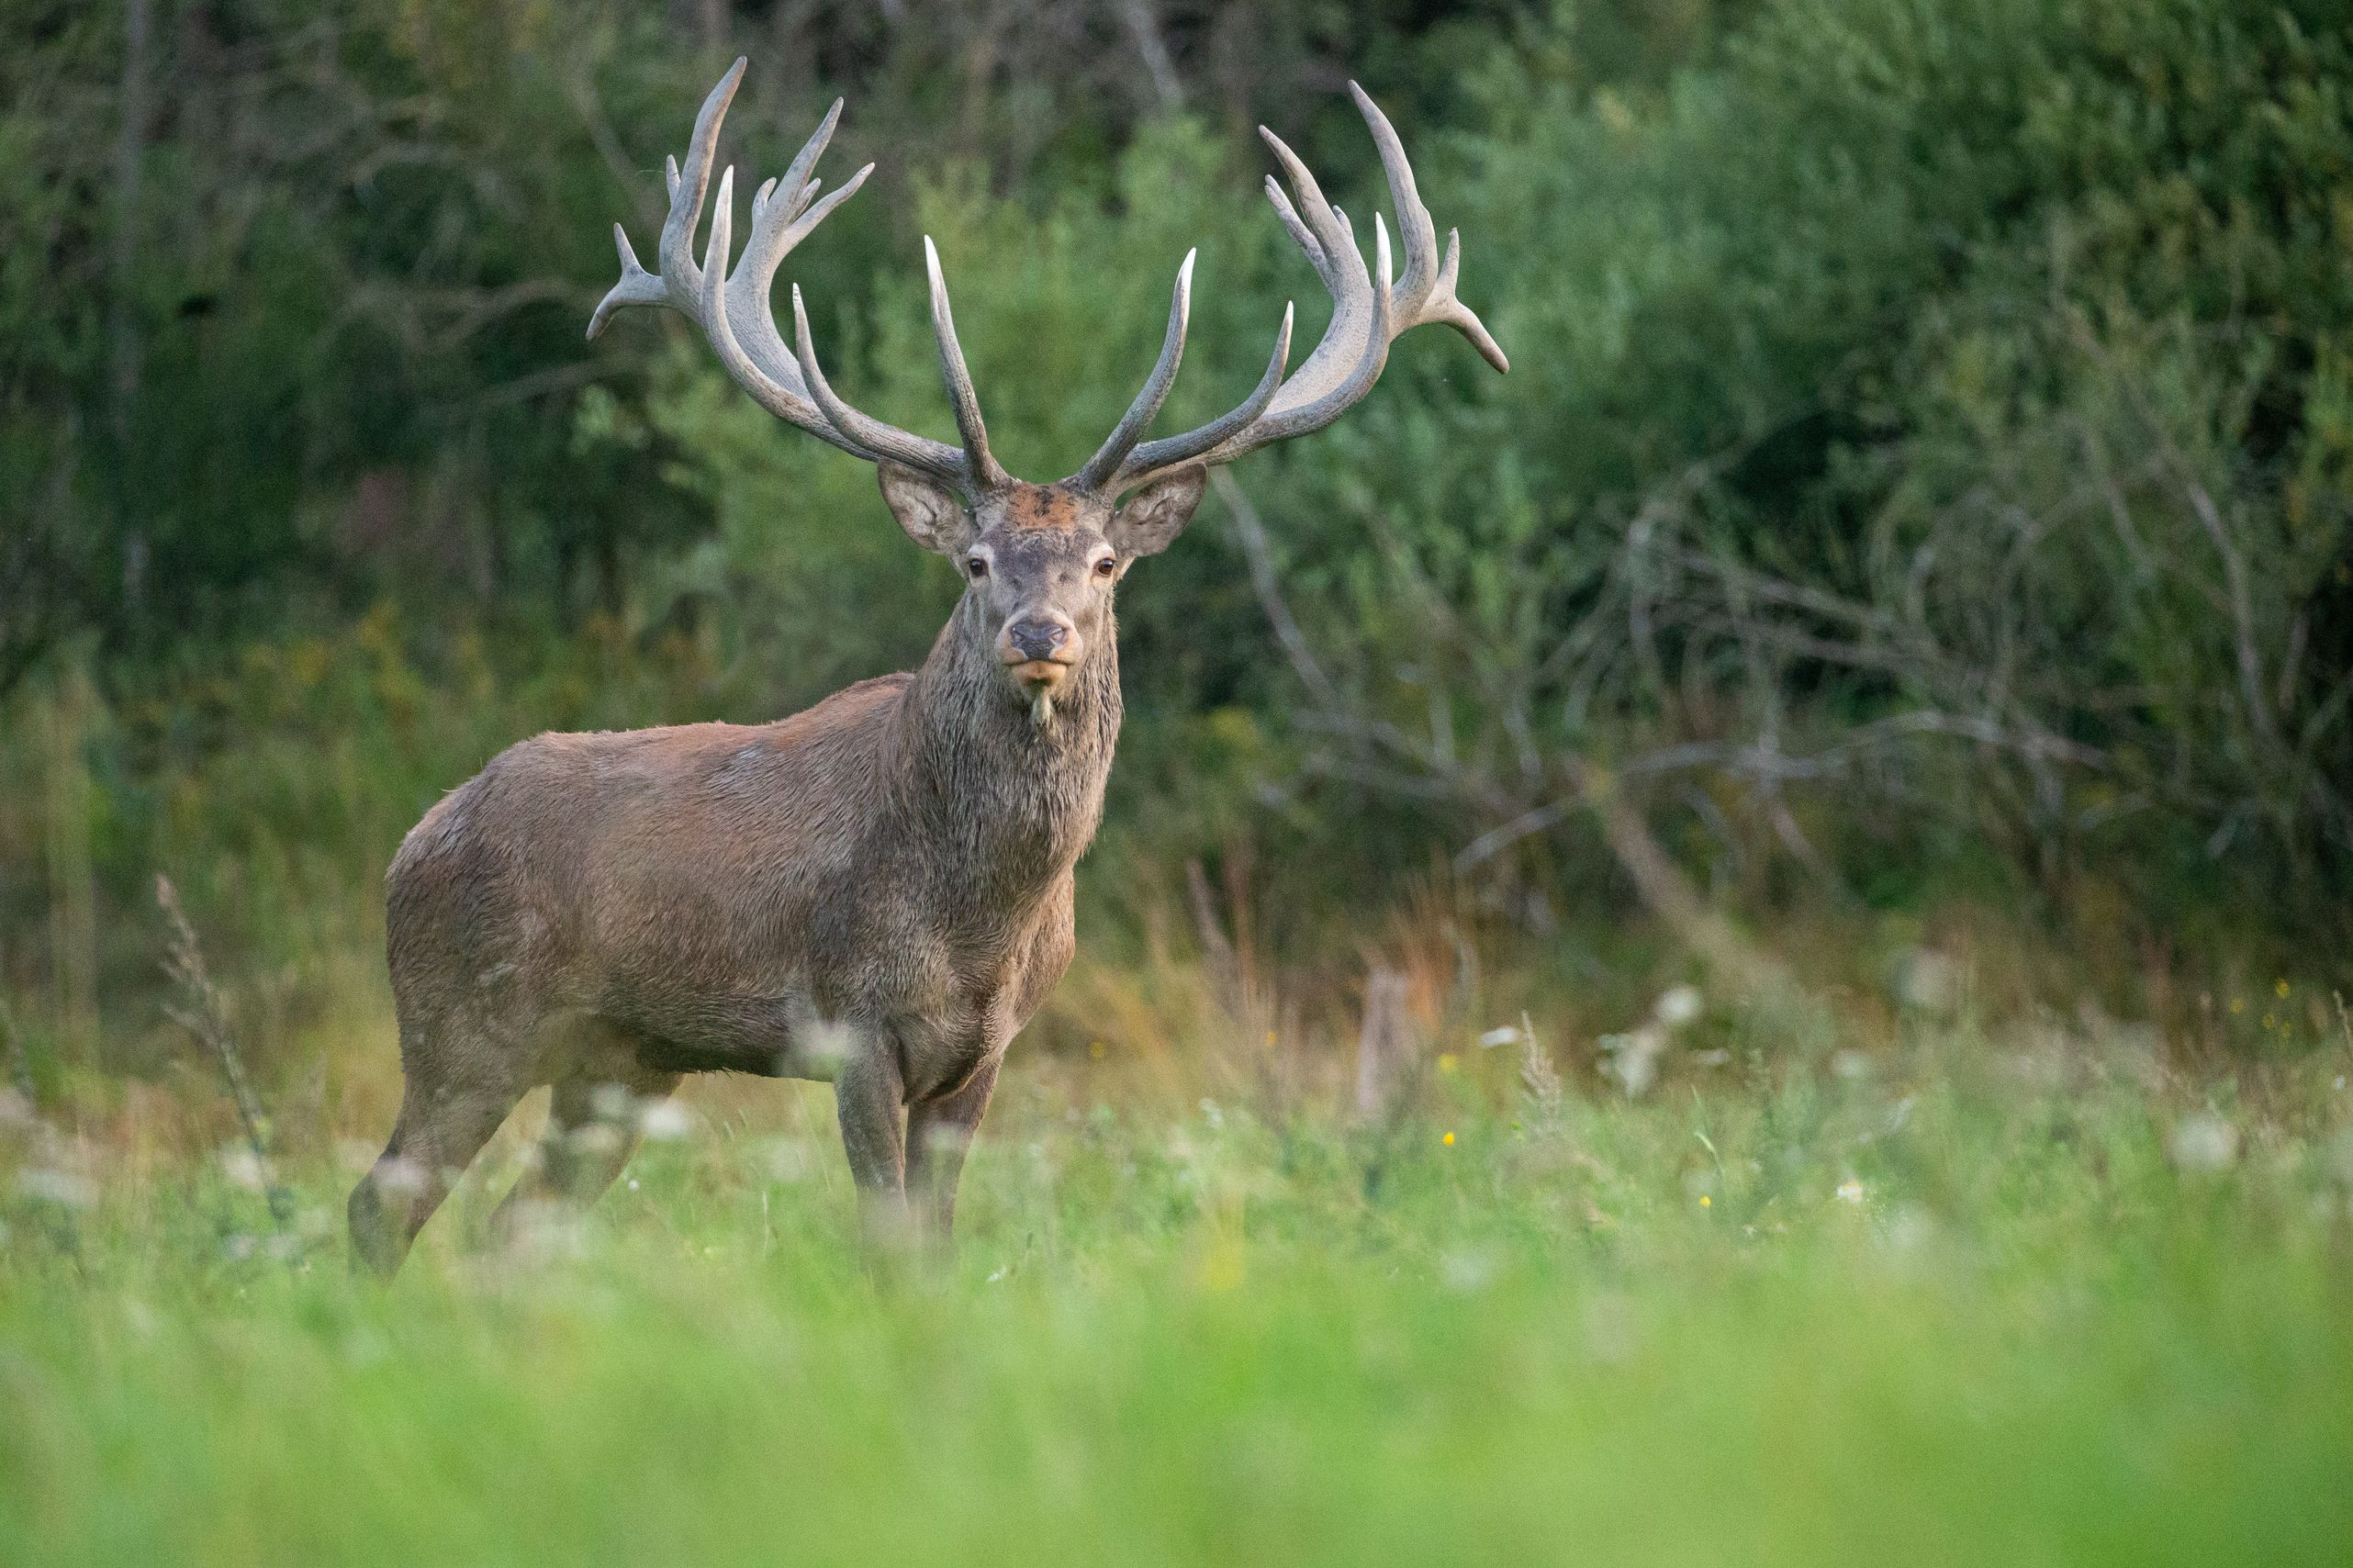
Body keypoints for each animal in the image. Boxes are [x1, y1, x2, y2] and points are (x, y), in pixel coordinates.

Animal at [343, 58, 1506, 1271]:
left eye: (1103, 563)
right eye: (977, 559)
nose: (1038, 634)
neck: (980, 925)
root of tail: (410, 843)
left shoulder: (986, 1051)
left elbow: (939, 1243)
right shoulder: (851, 1025)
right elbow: (886, 1241)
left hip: (618, 1062)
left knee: (509, 1231)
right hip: (465, 1023)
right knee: (381, 1201)